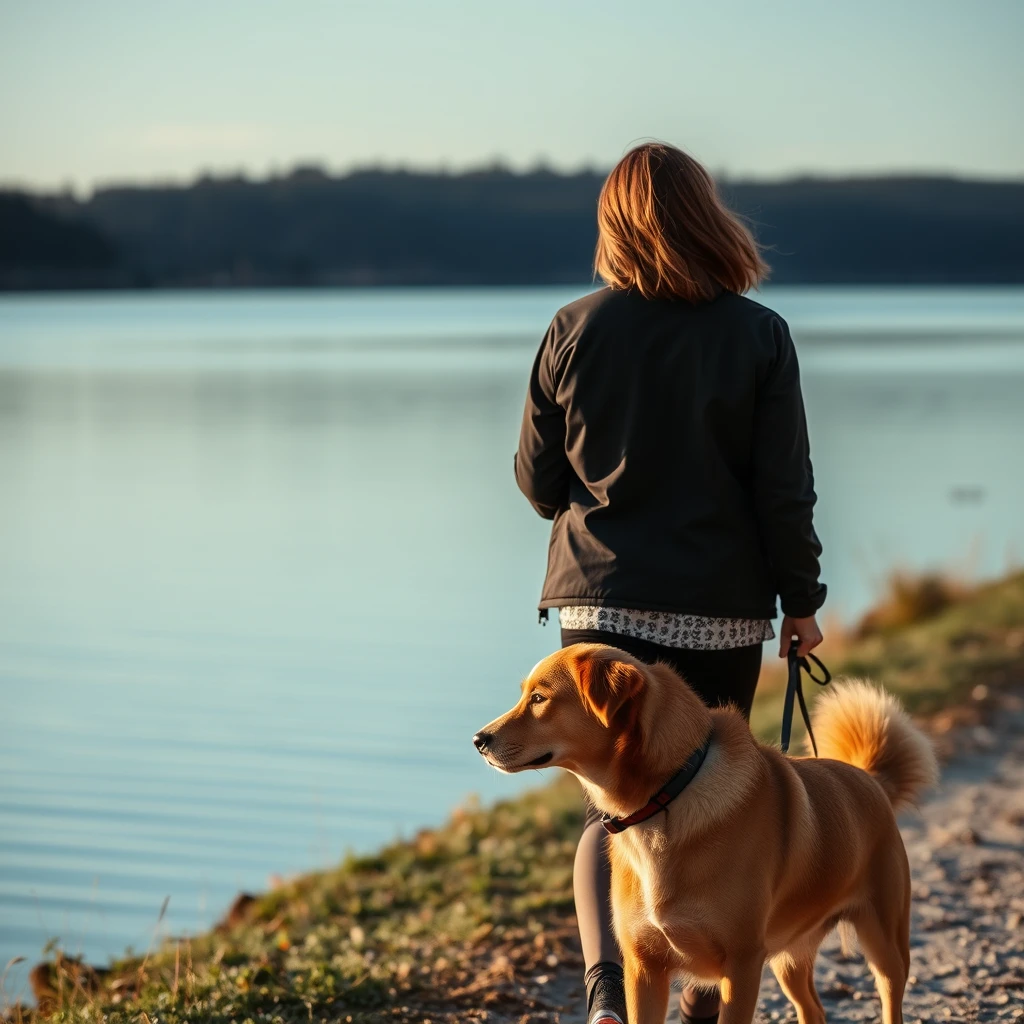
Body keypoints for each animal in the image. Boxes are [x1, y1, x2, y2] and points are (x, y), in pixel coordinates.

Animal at [471, 643, 937, 1019]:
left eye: (539, 698)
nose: (478, 739)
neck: (666, 796)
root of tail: (868, 779)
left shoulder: (743, 965)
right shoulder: (643, 968)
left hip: (885, 945)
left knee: (890, 998)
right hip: (790, 959)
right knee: (814, 1010)